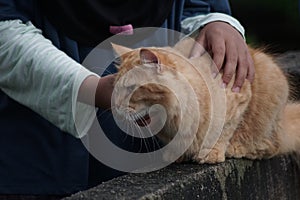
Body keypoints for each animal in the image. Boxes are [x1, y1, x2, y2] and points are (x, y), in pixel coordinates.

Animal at [110, 40, 300, 164]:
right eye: (116, 89)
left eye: (131, 87)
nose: (116, 106)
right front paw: (177, 154)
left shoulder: (239, 97)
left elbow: (224, 131)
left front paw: (211, 153)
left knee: (269, 145)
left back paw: (238, 148)